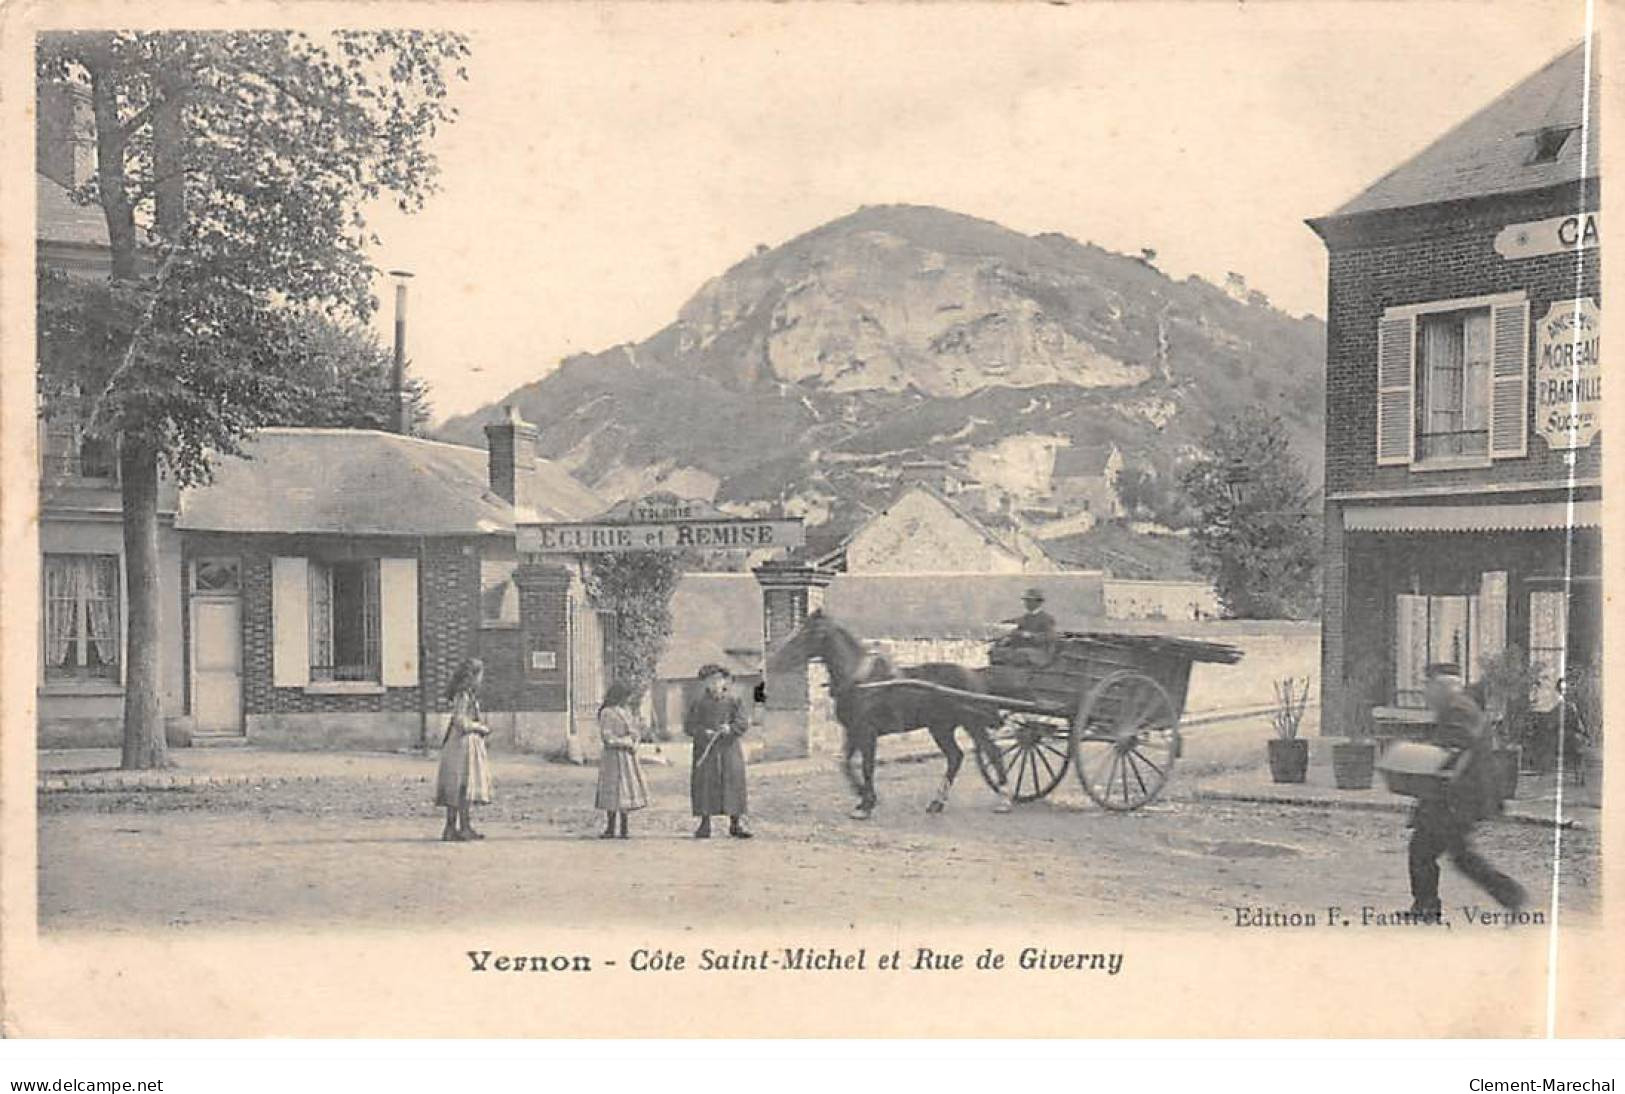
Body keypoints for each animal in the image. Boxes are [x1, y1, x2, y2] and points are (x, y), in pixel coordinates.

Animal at [767, 611, 1007, 816]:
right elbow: (846, 764)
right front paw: (863, 797)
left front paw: (866, 805)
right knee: (955, 757)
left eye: (809, 632)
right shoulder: (853, 731)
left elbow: (867, 766)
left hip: (972, 724)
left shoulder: (867, 732)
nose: (775, 660)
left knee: (992, 752)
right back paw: (936, 803)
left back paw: (1004, 798)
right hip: (941, 728)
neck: (859, 679)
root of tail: (975, 674)